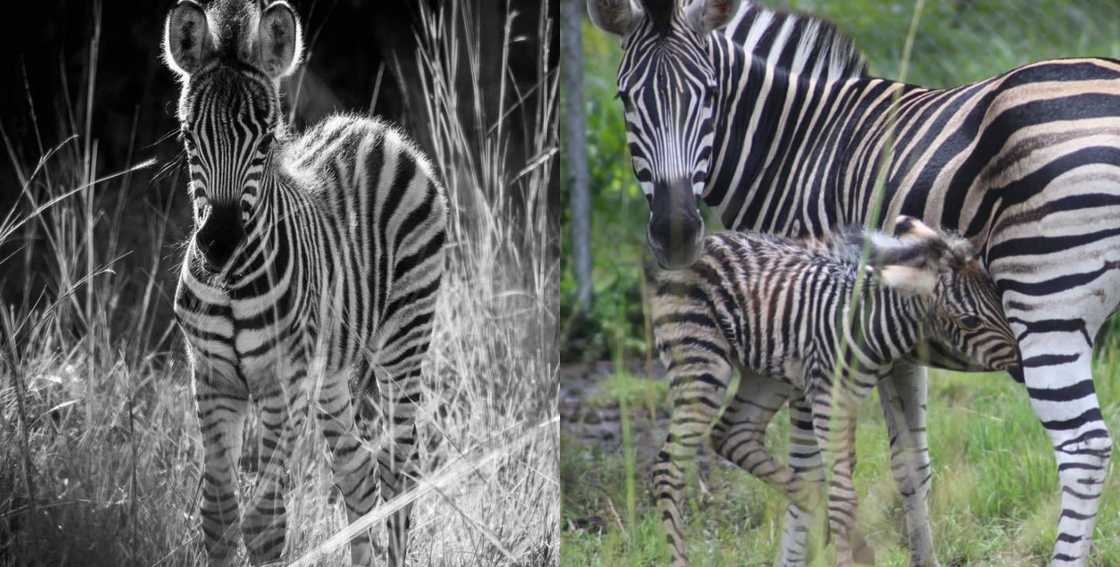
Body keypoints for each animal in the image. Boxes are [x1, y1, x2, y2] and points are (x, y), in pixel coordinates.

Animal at [163, 1, 446, 565]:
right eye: (187, 136)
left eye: (267, 141)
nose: (219, 246)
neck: (232, 286)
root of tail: (375, 130)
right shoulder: (211, 378)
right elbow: (218, 518)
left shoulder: (283, 384)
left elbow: (265, 523)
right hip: (331, 372)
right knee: (358, 472)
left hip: (403, 344)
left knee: (399, 473)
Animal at [648, 216, 1018, 566]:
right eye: (970, 321)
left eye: (999, 298)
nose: (1021, 360)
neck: (869, 325)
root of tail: (701, 244)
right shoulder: (829, 397)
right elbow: (842, 498)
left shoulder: (848, 397)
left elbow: (846, 485)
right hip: (700, 364)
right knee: (667, 469)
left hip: (767, 374)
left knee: (733, 435)